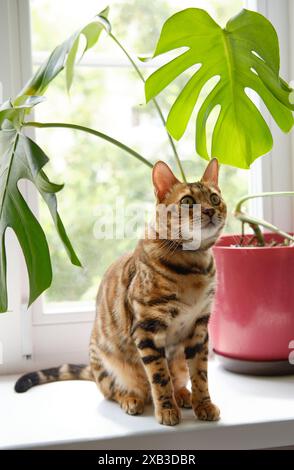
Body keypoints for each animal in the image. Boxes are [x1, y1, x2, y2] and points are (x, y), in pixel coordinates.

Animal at [14, 158, 227, 426]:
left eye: (214, 198)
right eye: (188, 201)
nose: (209, 210)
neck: (193, 269)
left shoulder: (199, 328)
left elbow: (200, 374)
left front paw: (204, 405)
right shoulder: (147, 327)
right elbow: (160, 377)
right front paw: (167, 409)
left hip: (178, 360)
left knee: (177, 377)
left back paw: (182, 394)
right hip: (106, 362)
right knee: (116, 391)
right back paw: (132, 399)